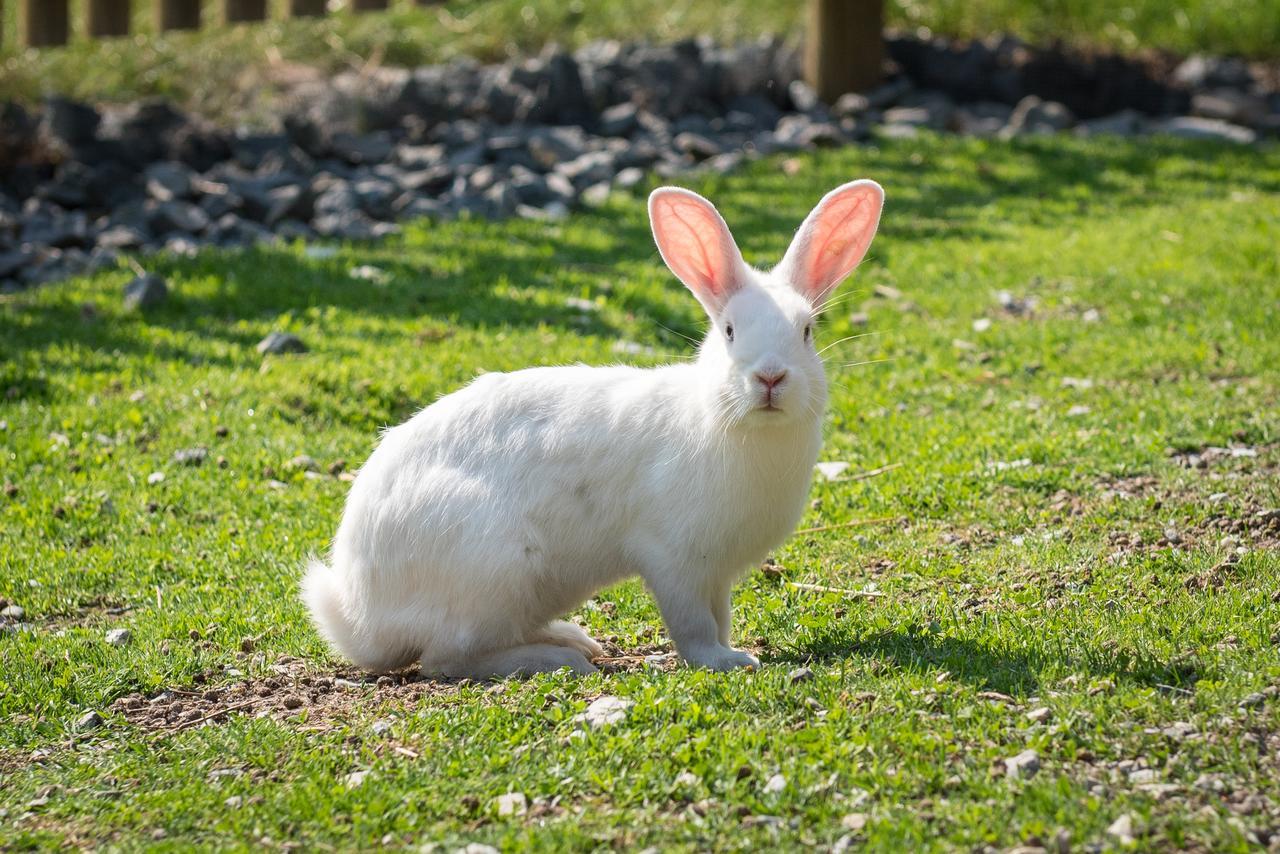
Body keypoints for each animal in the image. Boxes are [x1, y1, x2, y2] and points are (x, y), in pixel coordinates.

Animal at [302, 181, 880, 681]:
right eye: (729, 331)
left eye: (807, 332)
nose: (770, 377)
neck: (728, 421)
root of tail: (361, 618)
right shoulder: (673, 560)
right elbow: (693, 626)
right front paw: (726, 661)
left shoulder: (715, 575)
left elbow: (719, 617)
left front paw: (731, 651)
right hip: (495, 569)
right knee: (446, 660)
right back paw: (561, 660)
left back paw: (571, 638)